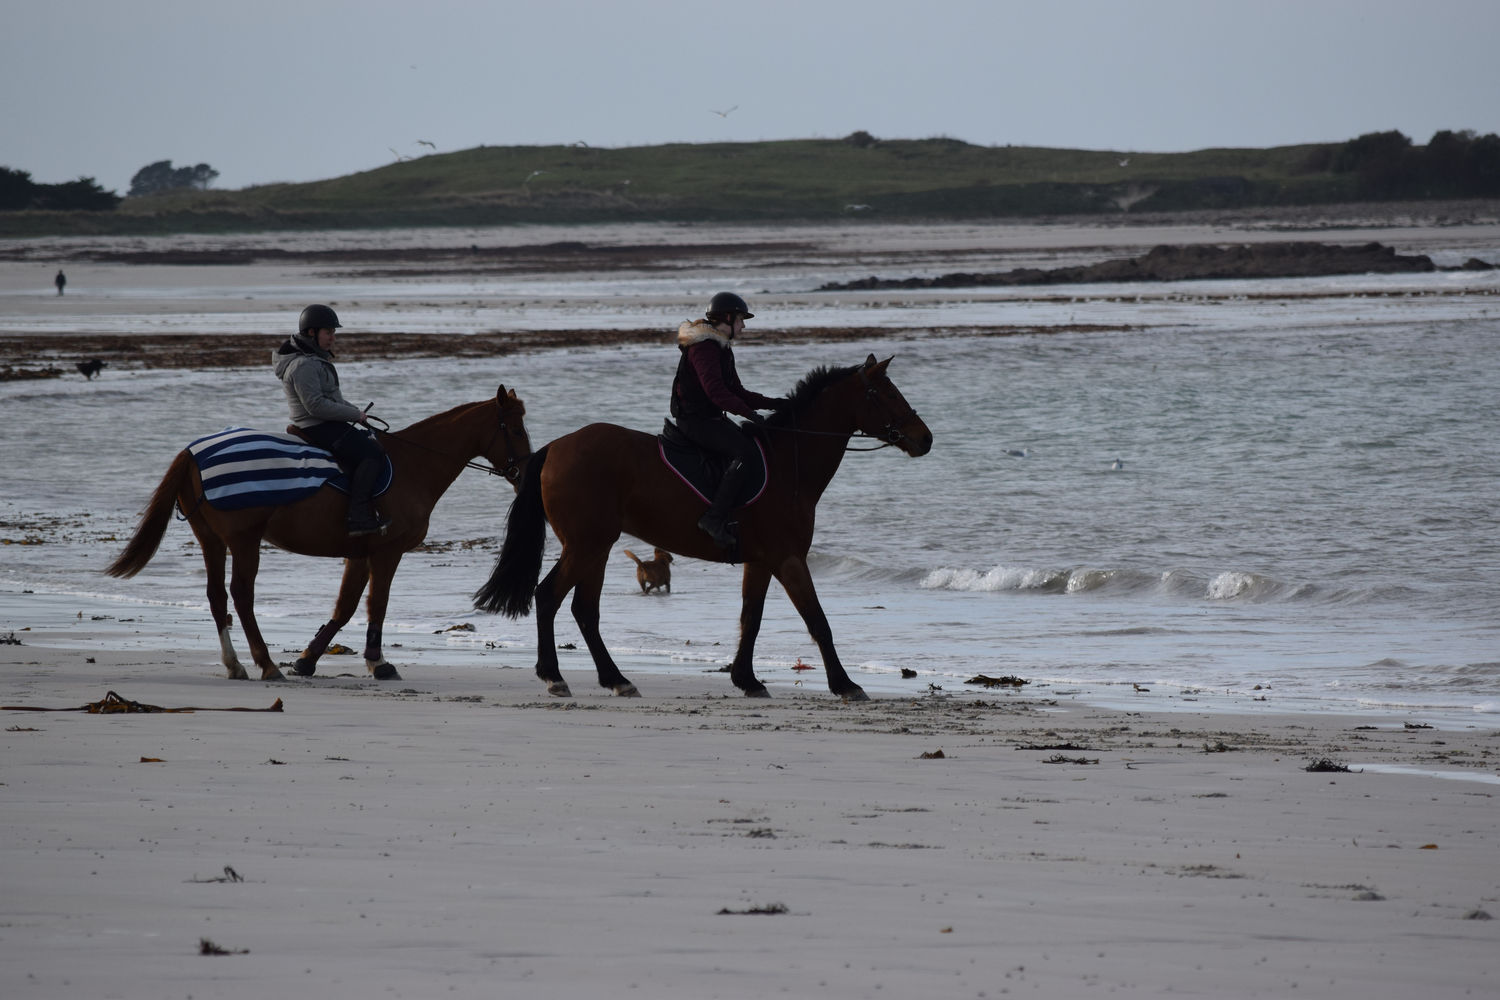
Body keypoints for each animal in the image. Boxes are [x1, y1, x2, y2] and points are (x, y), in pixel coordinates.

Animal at [107, 383, 528, 680]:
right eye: (515, 427)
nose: (525, 472)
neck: (413, 464)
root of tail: (193, 452)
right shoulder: (387, 551)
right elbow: (377, 603)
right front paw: (377, 663)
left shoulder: (359, 553)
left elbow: (345, 607)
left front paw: (309, 660)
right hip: (244, 542)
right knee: (241, 596)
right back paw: (265, 664)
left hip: (211, 540)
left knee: (216, 596)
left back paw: (235, 665)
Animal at [474, 355, 930, 701]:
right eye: (885, 394)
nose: (924, 439)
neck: (788, 461)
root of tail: (555, 448)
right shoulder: (788, 558)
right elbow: (818, 621)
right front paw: (845, 685)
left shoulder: (760, 561)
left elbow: (751, 619)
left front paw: (747, 680)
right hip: (586, 545)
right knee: (548, 596)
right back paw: (555, 677)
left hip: (595, 548)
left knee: (584, 610)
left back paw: (616, 680)